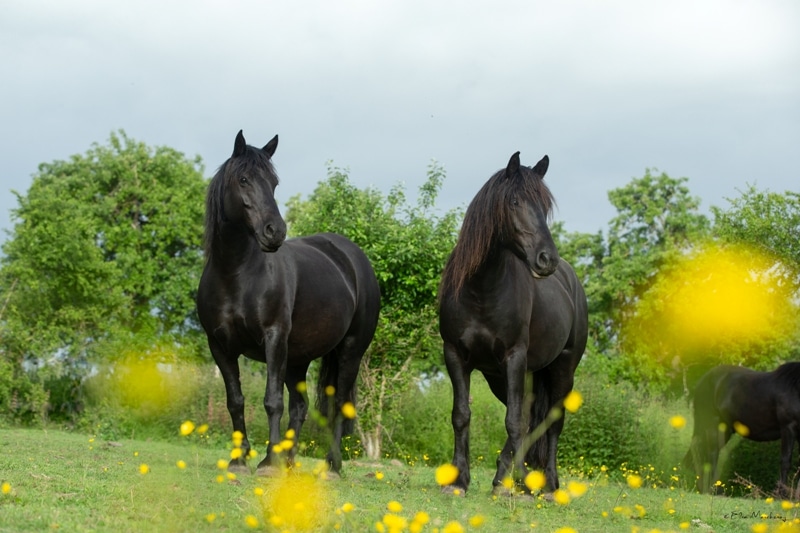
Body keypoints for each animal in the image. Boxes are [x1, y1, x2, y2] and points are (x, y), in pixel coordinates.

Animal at [195, 131, 380, 476]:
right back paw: (290, 461)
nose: (275, 232)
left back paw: (331, 465)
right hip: (297, 360)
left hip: (349, 351)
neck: (236, 274)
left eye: (274, 183)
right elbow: (235, 400)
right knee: (301, 406)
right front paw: (239, 459)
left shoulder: (274, 339)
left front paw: (268, 461)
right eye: (243, 180)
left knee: (338, 404)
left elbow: (272, 401)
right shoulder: (219, 346)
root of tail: (353, 257)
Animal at [438, 151, 588, 494]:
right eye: (515, 201)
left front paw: (520, 483)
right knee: (529, 416)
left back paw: (547, 484)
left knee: (550, 422)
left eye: (545, 206)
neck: (481, 289)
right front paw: (458, 479)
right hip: (504, 376)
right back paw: (506, 476)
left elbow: (514, 421)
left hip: (562, 368)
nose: (547, 259)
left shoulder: (514, 357)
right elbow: (461, 414)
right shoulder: (455, 354)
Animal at [684, 364, 800, 492]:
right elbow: (785, 461)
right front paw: (781, 494)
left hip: (724, 430)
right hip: (712, 425)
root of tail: (703, 381)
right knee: (710, 454)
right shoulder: (788, 427)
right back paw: (711, 489)